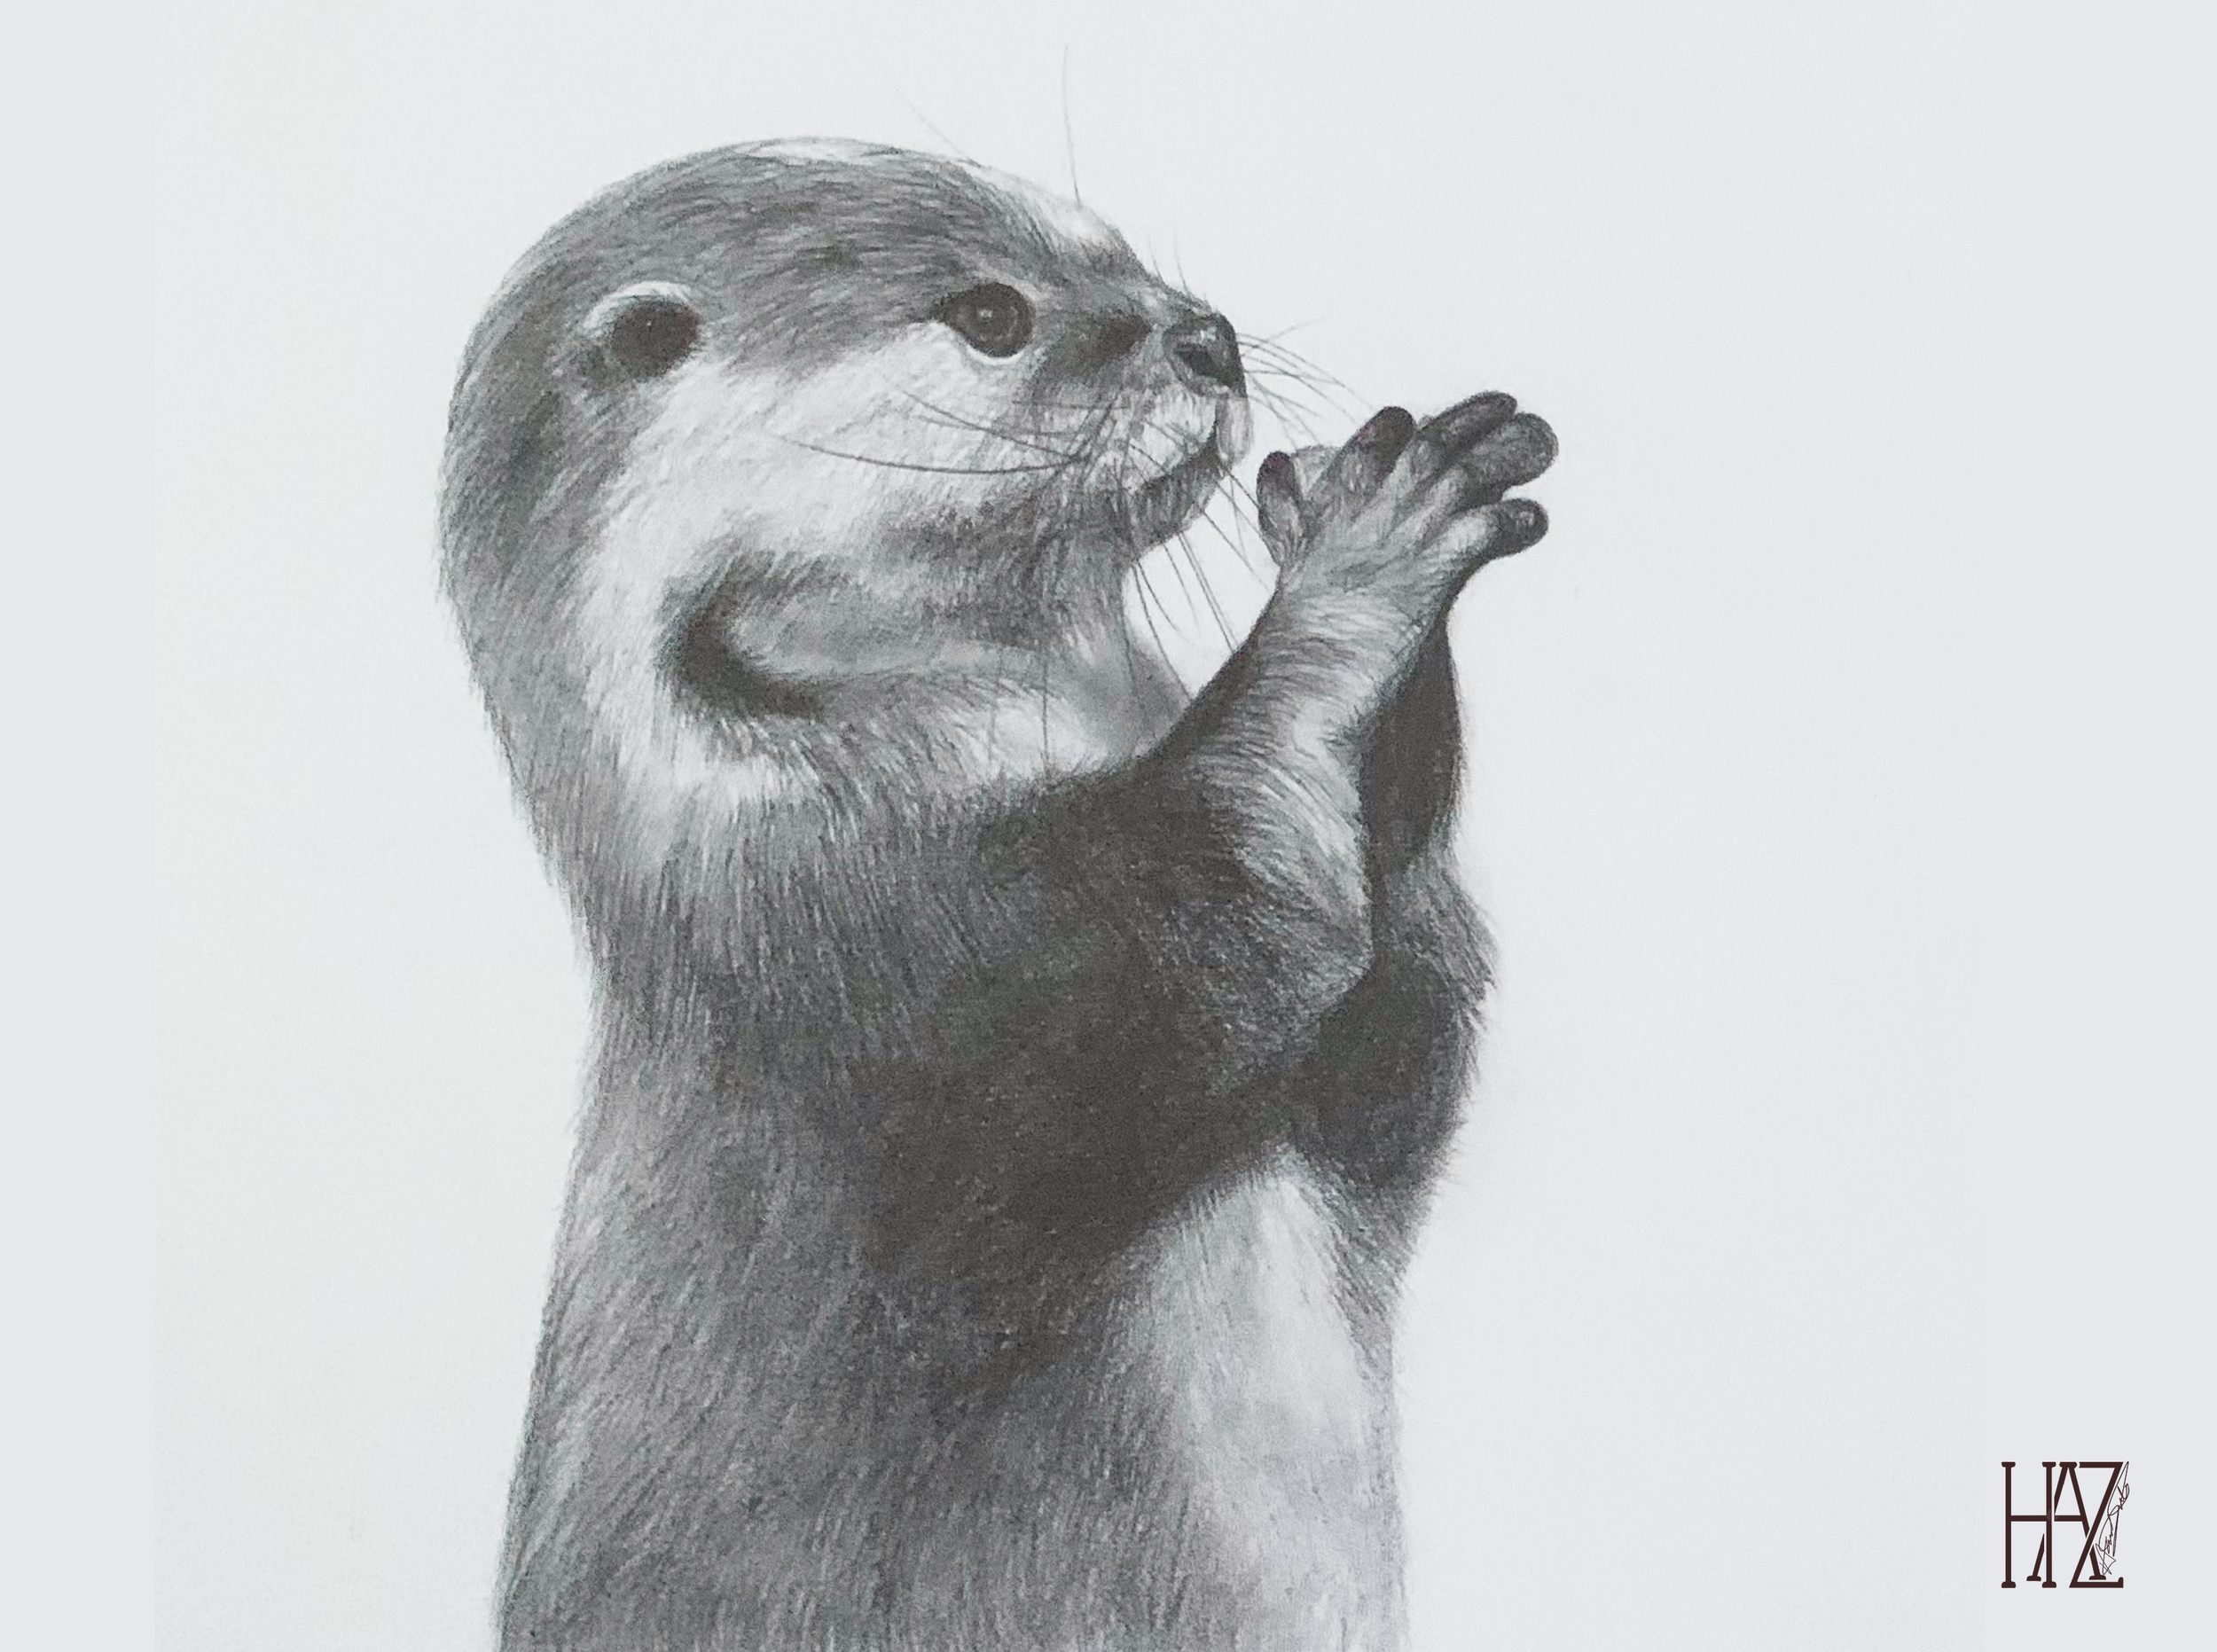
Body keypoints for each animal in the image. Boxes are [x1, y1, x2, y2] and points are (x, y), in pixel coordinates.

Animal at [441, 140, 1556, 1652]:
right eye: (990, 314)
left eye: (1122, 250)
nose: (1205, 335)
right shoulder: (908, 962)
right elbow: (1237, 906)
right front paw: (1363, 555)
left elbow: (1404, 1058)